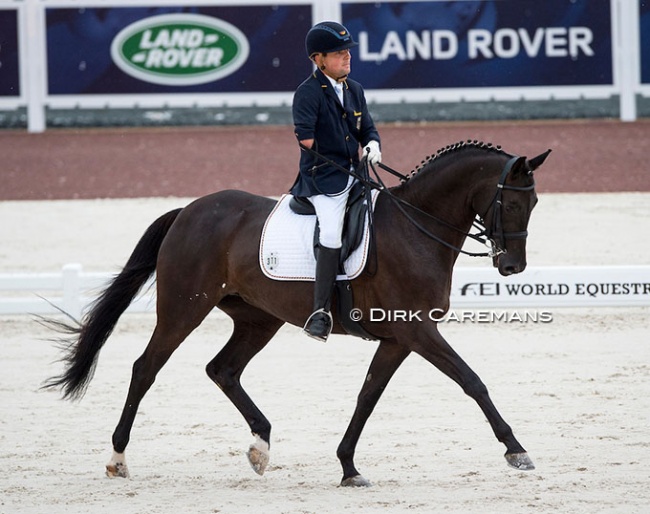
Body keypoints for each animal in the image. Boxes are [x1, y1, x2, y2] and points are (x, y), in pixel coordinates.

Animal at [45, 139, 548, 484]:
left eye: (535, 202)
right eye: (512, 201)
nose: (511, 266)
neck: (416, 227)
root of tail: (189, 210)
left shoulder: (397, 339)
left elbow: (368, 396)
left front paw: (348, 466)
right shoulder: (419, 333)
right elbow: (472, 381)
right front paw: (517, 450)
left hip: (257, 318)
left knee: (222, 369)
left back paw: (260, 447)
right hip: (183, 309)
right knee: (146, 368)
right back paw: (117, 459)